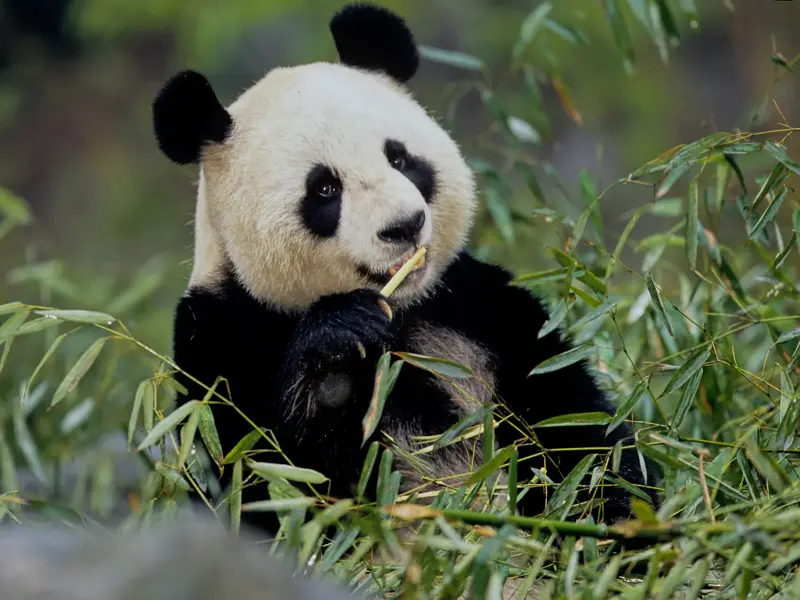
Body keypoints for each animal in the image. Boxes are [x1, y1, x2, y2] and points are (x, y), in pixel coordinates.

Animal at [152, 3, 657, 533]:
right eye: (325, 189)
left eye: (400, 158)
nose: (404, 225)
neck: (399, 308)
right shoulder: (217, 339)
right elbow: (256, 478)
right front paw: (334, 367)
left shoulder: (477, 307)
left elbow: (575, 428)